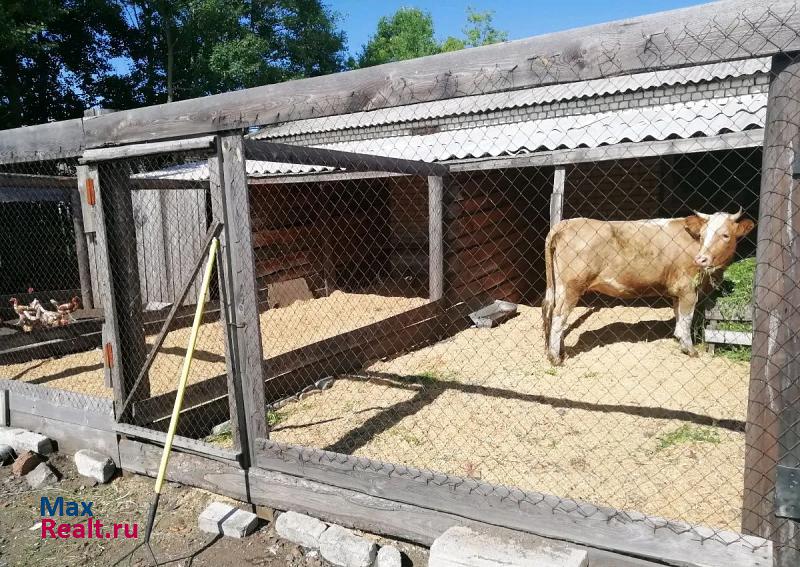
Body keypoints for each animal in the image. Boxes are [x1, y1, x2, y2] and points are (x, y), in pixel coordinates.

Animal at [540, 211, 752, 366]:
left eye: (725, 235)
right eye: (702, 235)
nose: (701, 259)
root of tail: (567, 223)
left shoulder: (677, 291)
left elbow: (678, 316)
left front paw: (679, 340)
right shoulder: (688, 289)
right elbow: (686, 319)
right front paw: (690, 349)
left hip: (559, 286)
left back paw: (559, 351)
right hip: (571, 287)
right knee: (559, 316)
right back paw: (555, 358)